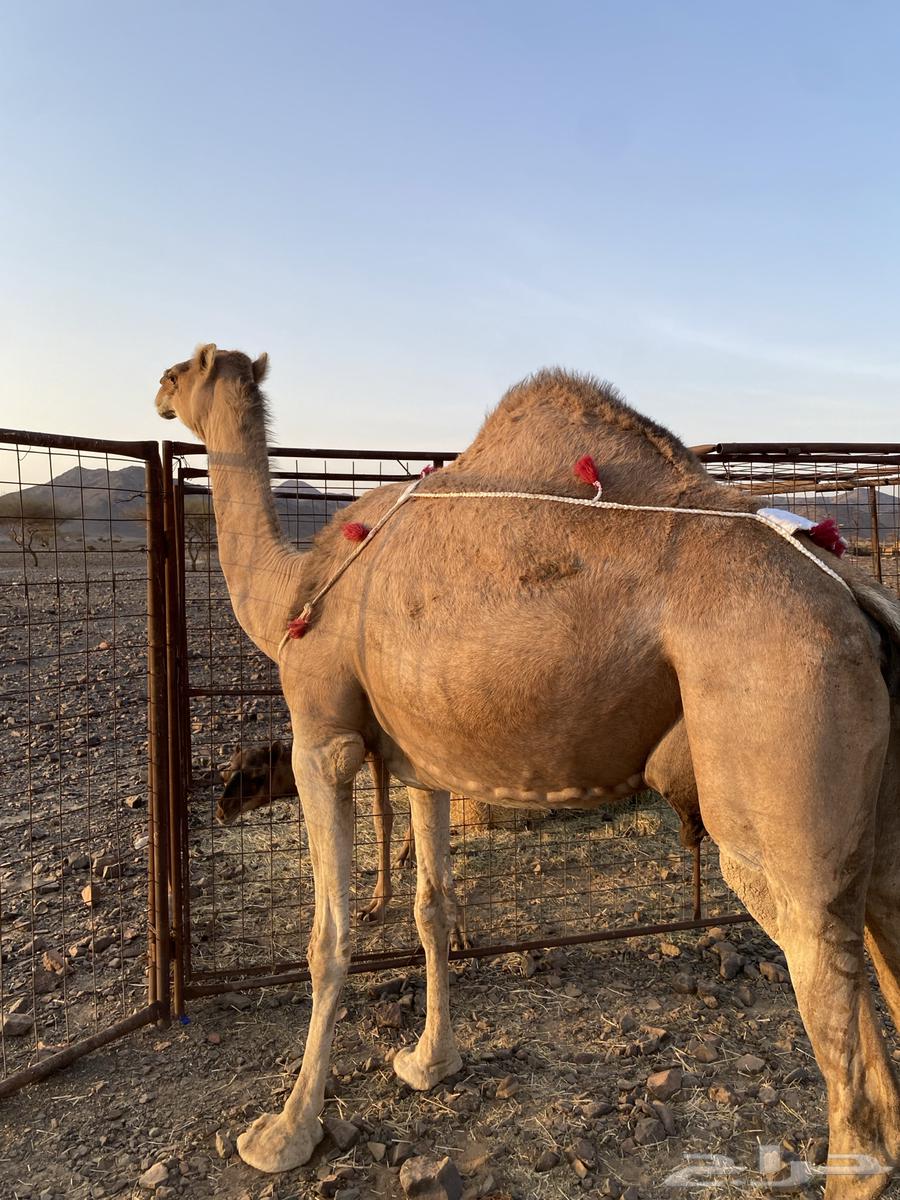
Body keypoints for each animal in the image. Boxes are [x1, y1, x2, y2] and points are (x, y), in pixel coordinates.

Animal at [157, 346, 900, 1198]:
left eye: (190, 366)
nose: (159, 389)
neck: (298, 590)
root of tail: (858, 594)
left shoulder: (323, 737)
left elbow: (328, 937)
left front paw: (284, 1133)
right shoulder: (421, 761)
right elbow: (432, 909)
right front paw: (429, 1062)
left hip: (779, 747)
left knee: (824, 970)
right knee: (879, 922)